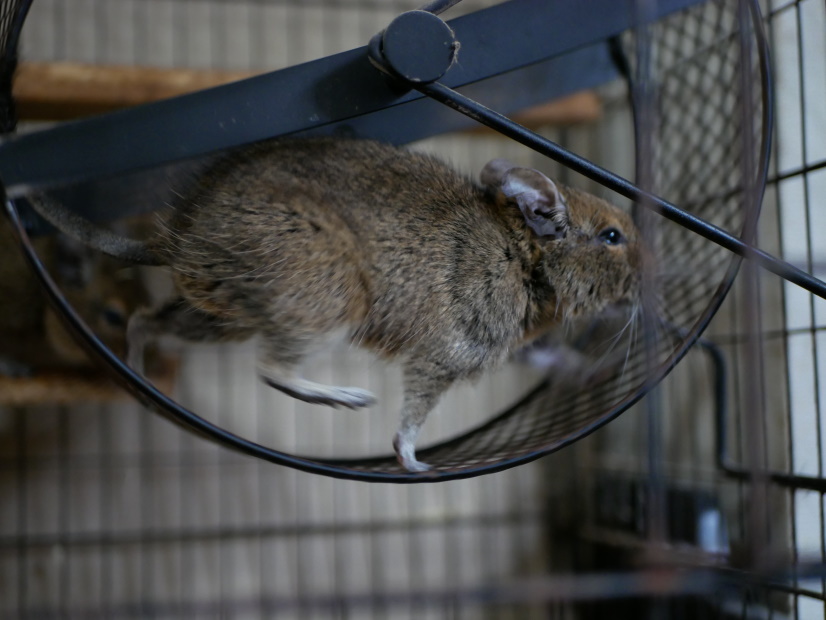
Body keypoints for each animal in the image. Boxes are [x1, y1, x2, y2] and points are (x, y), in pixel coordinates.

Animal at [27, 136, 644, 472]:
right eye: (613, 237)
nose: (650, 282)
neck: (525, 258)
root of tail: (177, 242)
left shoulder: (510, 347)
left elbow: (555, 359)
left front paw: (596, 369)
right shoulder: (447, 354)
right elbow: (412, 419)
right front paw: (413, 461)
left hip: (221, 314)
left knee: (143, 320)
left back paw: (135, 372)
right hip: (329, 300)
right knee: (272, 369)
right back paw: (347, 398)